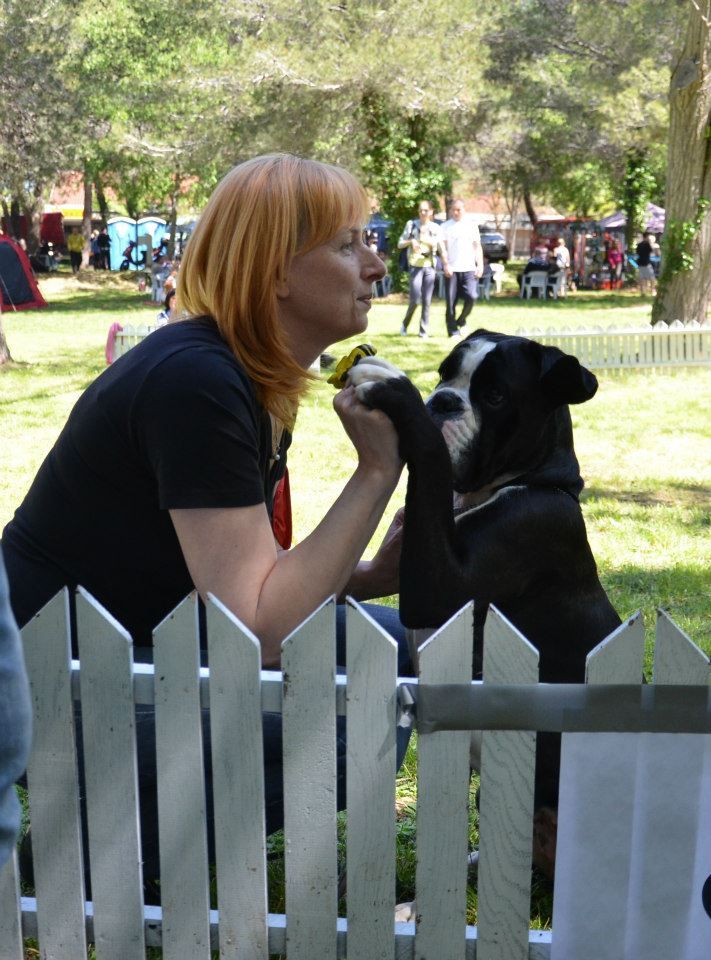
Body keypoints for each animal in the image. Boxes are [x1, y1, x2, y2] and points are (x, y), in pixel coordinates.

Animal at [350, 328, 624, 884]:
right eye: (443, 373)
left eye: (495, 396)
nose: (441, 401)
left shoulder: (438, 586)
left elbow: (431, 458)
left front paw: (394, 389)